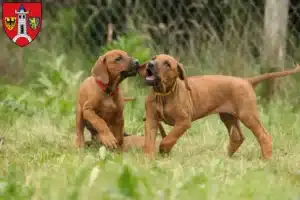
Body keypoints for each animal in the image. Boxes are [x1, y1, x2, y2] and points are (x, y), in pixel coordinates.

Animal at [139, 54, 300, 159]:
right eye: (153, 58)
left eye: (167, 64)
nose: (150, 64)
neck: (163, 94)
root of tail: (246, 81)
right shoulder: (151, 121)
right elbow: (149, 141)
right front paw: (148, 159)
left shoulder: (183, 122)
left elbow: (169, 138)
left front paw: (164, 149)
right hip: (228, 116)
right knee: (237, 137)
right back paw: (227, 157)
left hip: (247, 115)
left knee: (264, 135)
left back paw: (266, 159)